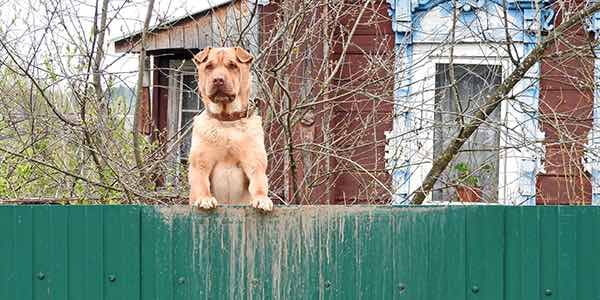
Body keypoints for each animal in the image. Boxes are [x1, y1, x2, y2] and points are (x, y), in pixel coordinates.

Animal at [189, 47, 274, 211]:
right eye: (209, 66)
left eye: (233, 66)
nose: (218, 80)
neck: (227, 121)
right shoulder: (201, 163)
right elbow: (202, 183)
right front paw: (205, 199)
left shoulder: (254, 162)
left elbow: (259, 184)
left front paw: (261, 199)